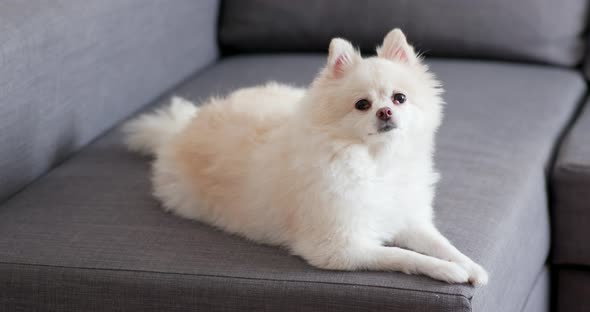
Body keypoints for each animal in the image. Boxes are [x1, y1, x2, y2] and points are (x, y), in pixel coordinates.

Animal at [123, 28, 490, 286]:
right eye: (362, 105)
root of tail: (180, 127)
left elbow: (441, 243)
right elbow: (402, 255)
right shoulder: (340, 248)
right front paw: (448, 271)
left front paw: (469, 265)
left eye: (399, 98)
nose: (385, 111)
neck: (375, 161)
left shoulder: (408, 219)